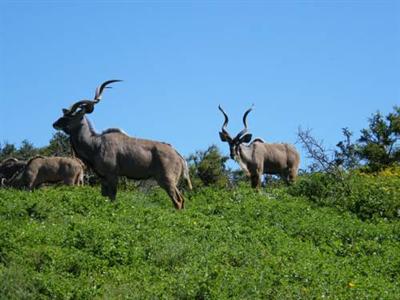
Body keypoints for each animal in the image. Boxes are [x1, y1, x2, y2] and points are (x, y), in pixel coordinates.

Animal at [52, 81, 191, 210]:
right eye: (65, 114)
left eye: (71, 115)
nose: (55, 124)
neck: (95, 144)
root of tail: (178, 155)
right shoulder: (104, 178)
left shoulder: (112, 175)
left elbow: (112, 197)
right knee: (182, 199)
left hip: (166, 180)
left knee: (178, 200)